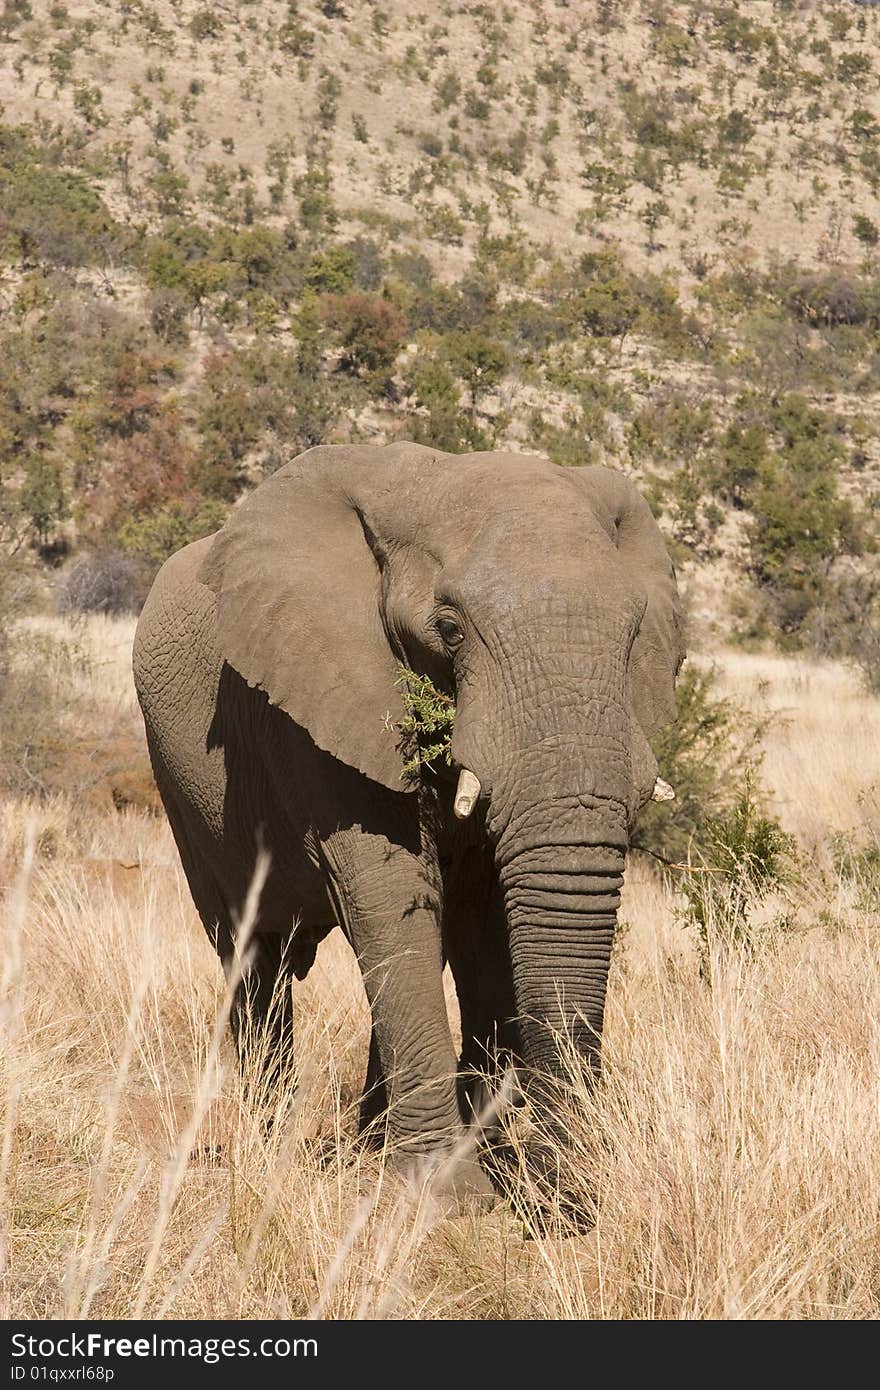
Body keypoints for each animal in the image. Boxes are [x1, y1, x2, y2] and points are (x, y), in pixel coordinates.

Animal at [130, 442, 683, 1206]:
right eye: (449, 629)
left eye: (634, 634)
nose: (564, 1194)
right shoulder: (322, 698)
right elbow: (389, 889)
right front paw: (445, 1197)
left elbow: (481, 914)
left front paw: (492, 1172)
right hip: (181, 785)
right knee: (253, 954)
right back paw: (271, 1153)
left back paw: (369, 1143)